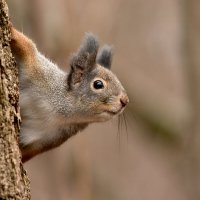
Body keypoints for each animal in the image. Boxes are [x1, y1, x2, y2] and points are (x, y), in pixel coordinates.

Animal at [9, 25, 129, 162]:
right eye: (98, 84)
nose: (125, 101)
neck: (63, 113)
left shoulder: (49, 140)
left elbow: (27, 153)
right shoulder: (43, 75)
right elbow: (29, 48)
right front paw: (10, 29)